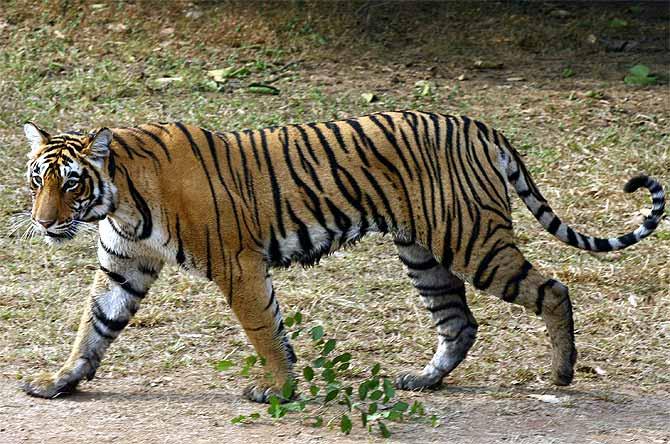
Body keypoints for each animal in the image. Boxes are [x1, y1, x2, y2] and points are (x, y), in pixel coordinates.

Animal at [19, 110, 668, 402]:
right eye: (36, 179)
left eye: (71, 183)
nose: (44, 222)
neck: (120, 199)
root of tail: (477, 123)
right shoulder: (123, 266)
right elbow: (93, 327)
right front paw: (60, 381)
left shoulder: (237, 263)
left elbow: (262, 328)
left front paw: (277, 390)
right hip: (423, 252)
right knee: (459, 323)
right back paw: (424, 380)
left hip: (473, 242)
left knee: (554, 289)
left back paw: (561, 373)